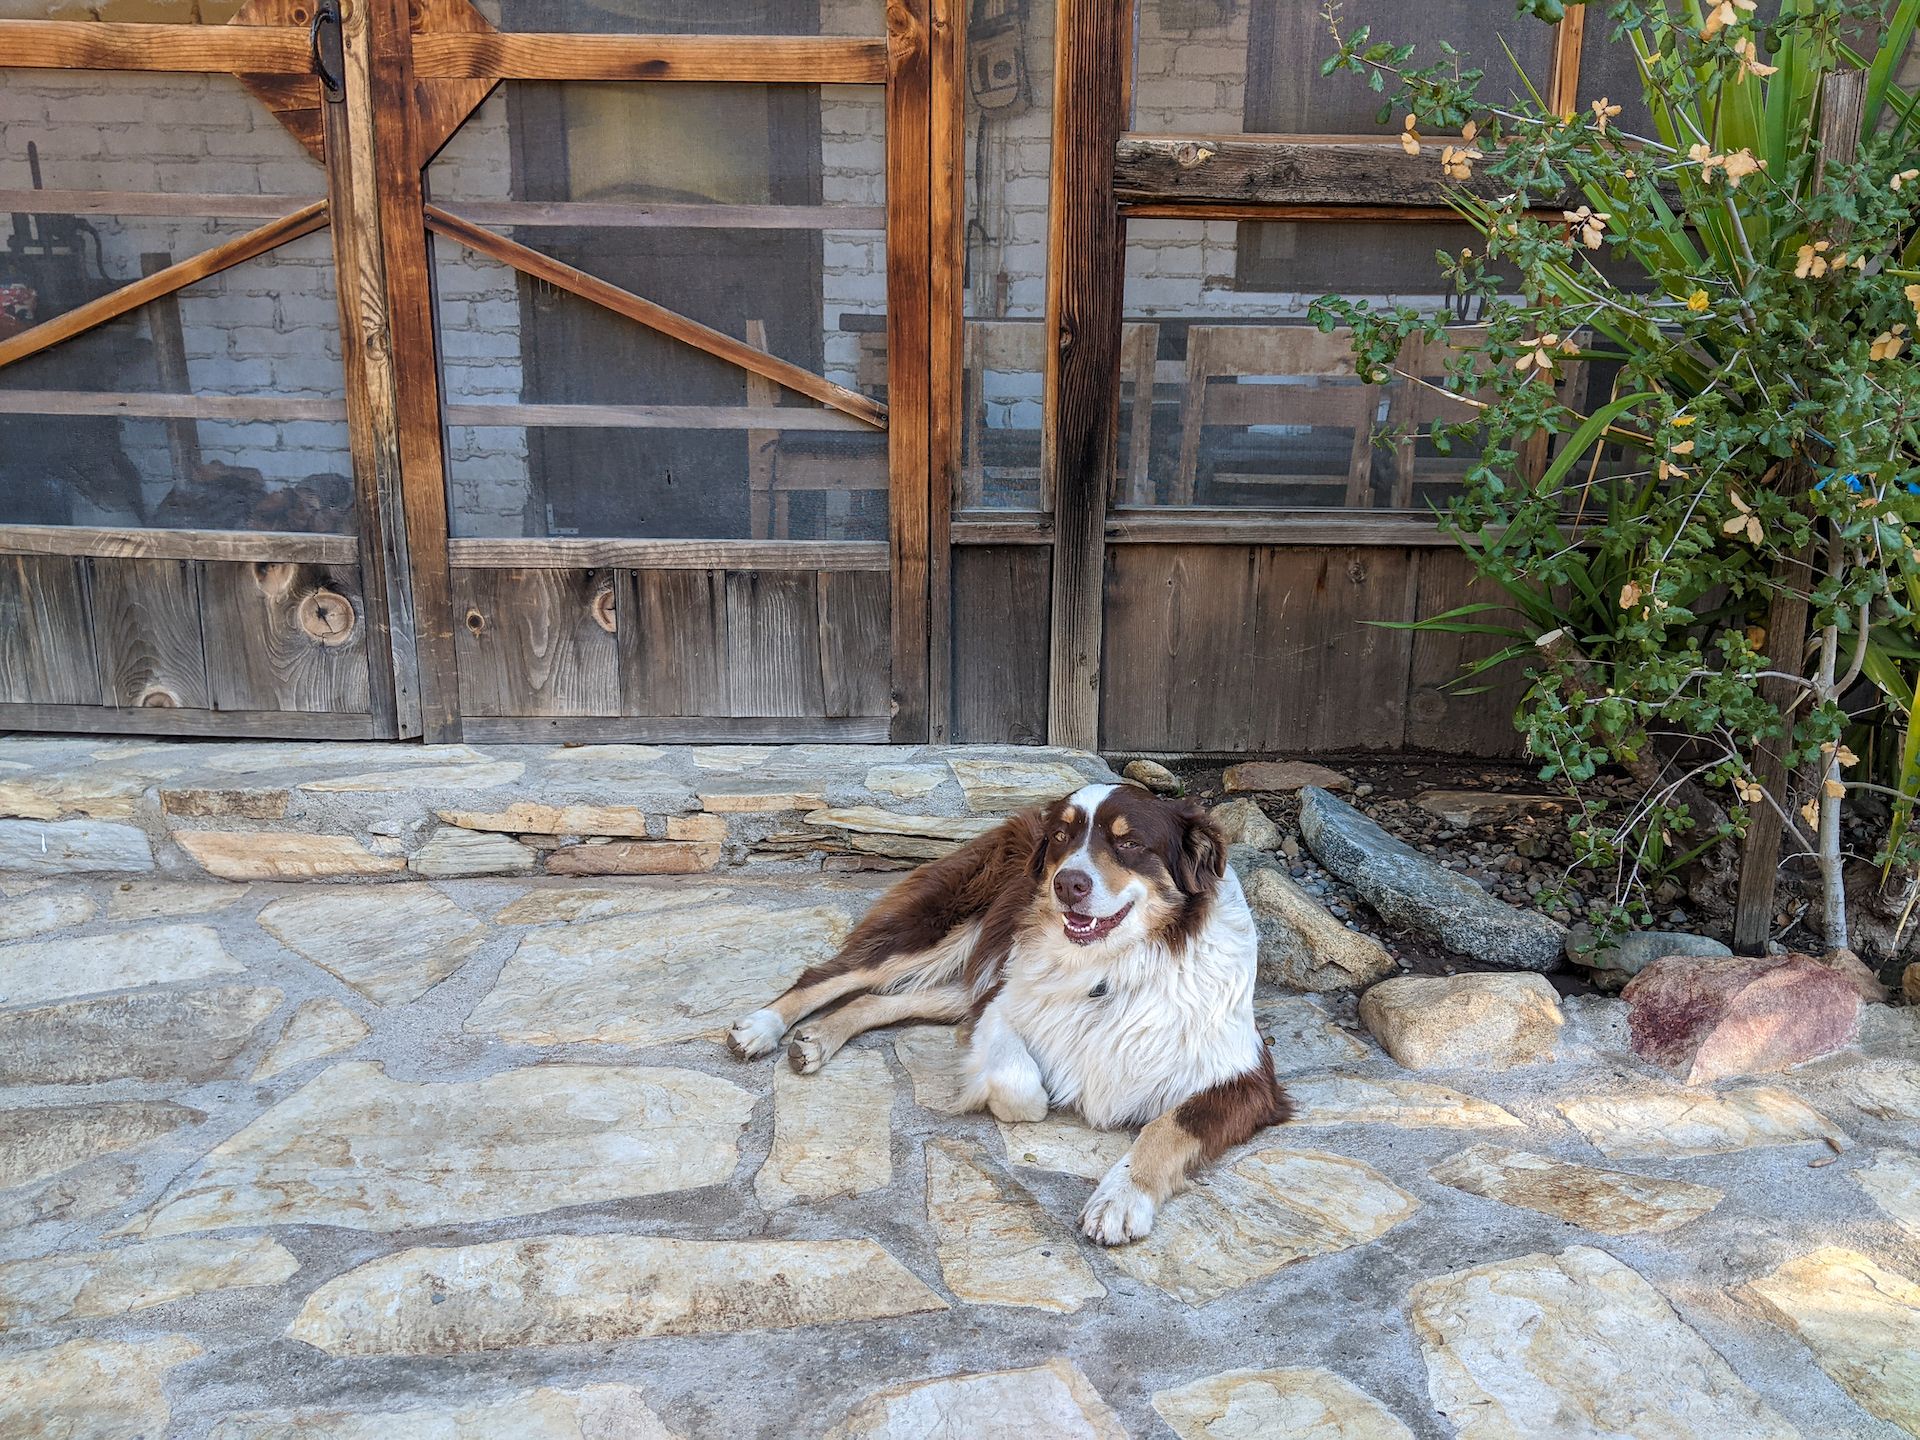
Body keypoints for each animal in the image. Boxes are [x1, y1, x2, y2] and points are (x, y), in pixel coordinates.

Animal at [725, 783, 1297, 1244]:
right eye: (1063, 837)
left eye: (1130, 842)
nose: (1068, 883)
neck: (1112, 967)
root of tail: (1014, 818)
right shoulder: (1001, 1006)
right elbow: (1024, 1090)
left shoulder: (1246, 1078)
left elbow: (1167, 1126)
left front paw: (1119, 1199)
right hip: (945, 929)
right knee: (829, 975)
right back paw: (761, 1028)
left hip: (968, 970)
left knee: (877, 999)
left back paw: (817, 1038)